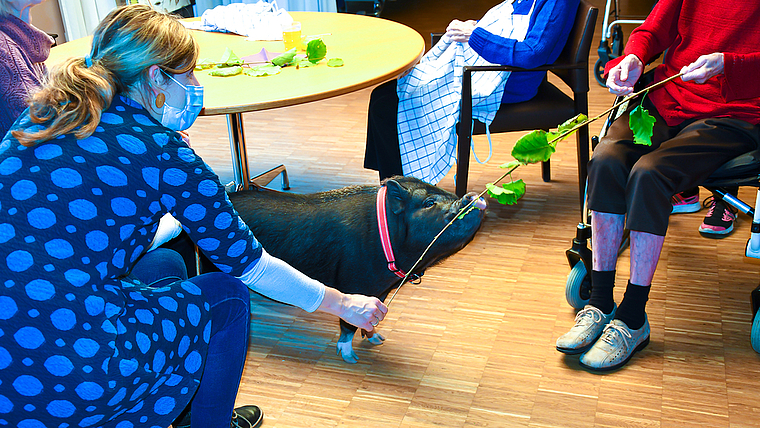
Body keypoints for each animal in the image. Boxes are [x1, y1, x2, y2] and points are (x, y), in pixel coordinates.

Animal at [226, 176, 486, 362]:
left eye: (452, 194)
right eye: (429, 203)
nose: (471, 197)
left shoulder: (381, 290)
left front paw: (378, 339)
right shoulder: (355, 283)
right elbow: (348, 324)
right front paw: (351, 358)